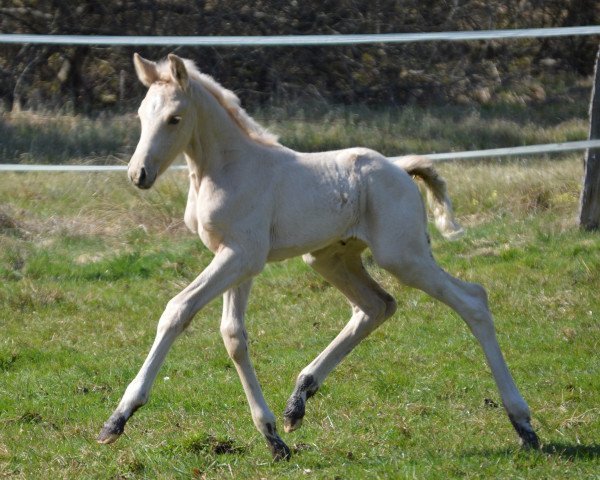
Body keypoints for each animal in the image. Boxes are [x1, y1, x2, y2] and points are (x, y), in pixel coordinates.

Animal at [97, 54, 540, 460]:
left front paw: (118, 418)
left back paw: (524, 424)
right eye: (141, 115)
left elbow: (177, 310)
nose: (138, 175)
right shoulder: (238, 258)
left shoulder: (241, 256)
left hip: (404, 255)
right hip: (330, 259)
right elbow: (234, 336)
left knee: (472, 300)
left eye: (174, 118)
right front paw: (272, 437)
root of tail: (400, 167)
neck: (228, 168)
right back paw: (299, 399)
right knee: (377, 306)